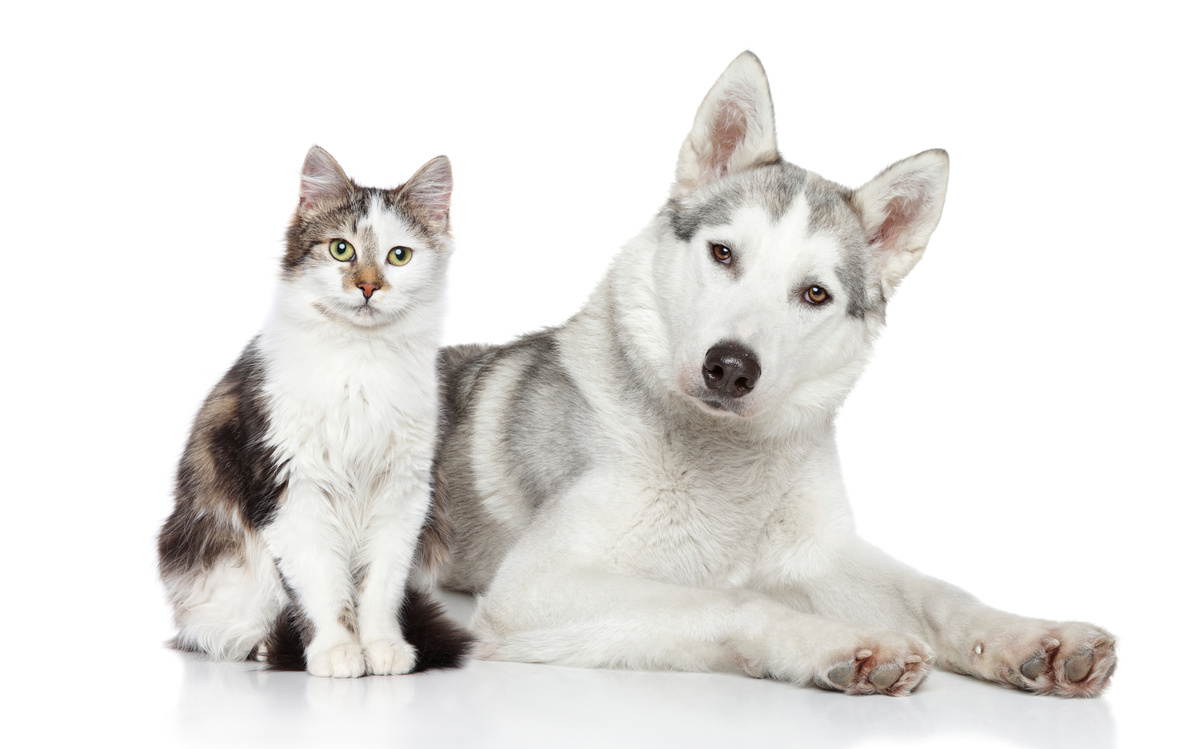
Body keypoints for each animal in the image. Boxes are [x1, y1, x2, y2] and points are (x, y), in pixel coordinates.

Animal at [156, 146, 468, 680]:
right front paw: (337, 653)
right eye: (341, 250)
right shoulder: (292, 488)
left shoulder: (403, 492)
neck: (360, 364)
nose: (368, 287)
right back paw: (264, 647)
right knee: (224, 633)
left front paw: (383, 647)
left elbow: (379, 588)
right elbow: (322, 586)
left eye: (399, 255)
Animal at [425, 51, 1111, 699]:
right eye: (723, 253)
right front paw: (837, 644)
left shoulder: (823, 557)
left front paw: (1030, 638)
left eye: (815, 293)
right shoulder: (533, 590)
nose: (730, 368)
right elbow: (735, 599)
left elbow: (939, 594)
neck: (728, 470)